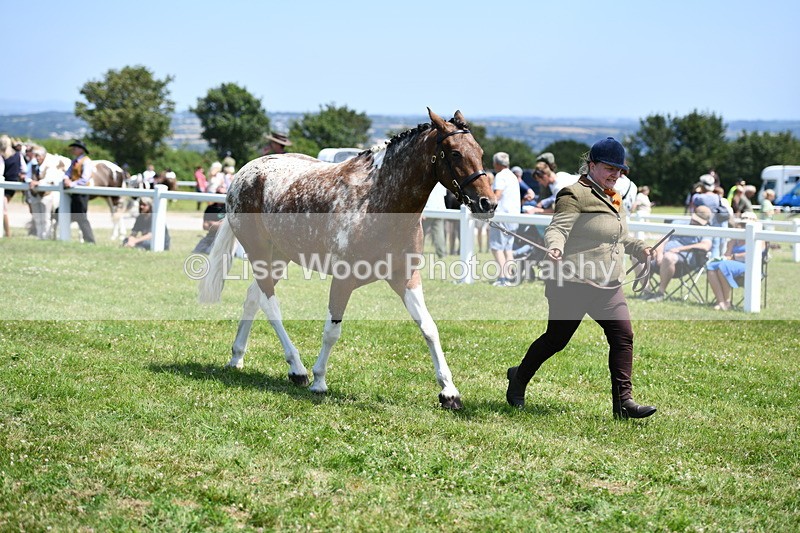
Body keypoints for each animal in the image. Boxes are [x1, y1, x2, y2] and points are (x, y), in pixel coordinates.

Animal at [199, 108, 497, 409]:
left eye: (480, 152)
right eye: (455, 153)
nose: (488, 203)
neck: (379, 201)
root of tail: (244, 173)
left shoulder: (405, 278)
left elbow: (429, 328)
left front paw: (449, 392)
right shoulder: (343, 279)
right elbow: (332, 331)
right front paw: (319, 381)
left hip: (279, 256)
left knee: (253, 297)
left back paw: (237, 357)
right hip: (259, 252)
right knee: (270, 305)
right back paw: (298, 369)